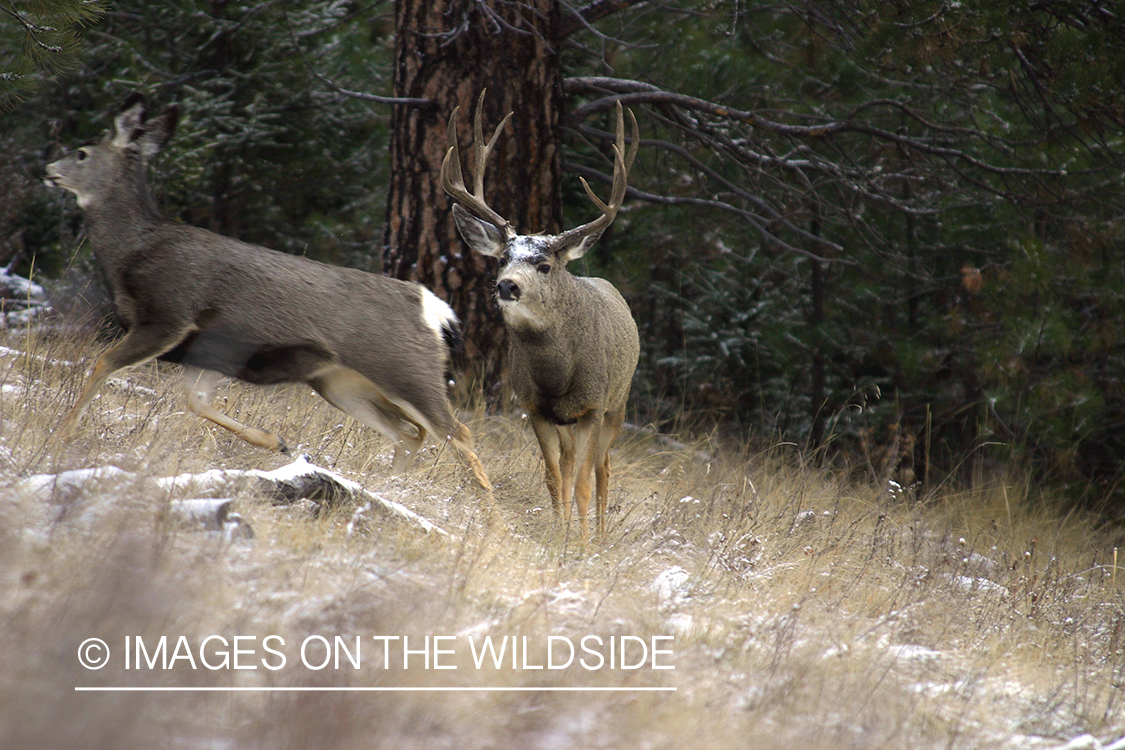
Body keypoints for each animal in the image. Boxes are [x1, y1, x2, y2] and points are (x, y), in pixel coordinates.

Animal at [43, 94, 494, 506]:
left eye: (81, 152)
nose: (47, 170)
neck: (132, 251)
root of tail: (434, 309)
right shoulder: (208, 351)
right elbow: (195, 402)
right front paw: (276, 442)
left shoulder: (169, 315)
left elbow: (103, 364)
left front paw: (61, 435)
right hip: (339, 381)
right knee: (409, 433)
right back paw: (387, 490)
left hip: (405, 370)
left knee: (458, 432)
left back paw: (486, 515)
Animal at [441, 91, 640, 542]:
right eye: (502, 259)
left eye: (545, 265)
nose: (507, 286)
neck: (557, 376)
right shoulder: (534, 407)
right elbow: (554, 478)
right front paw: (558, 533)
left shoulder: (593, 405)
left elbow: (583, 482)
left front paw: (580, 545)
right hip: (569, 421)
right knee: (568, 462)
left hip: (618, 403)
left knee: (602, 469)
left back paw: (601, 533)